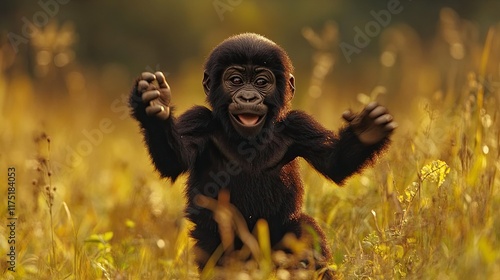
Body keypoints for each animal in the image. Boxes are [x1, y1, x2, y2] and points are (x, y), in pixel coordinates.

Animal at [129, 32, 394, 274]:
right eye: (235, 80)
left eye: (261, 82)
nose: (248, 96)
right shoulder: (198, 121)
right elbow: (173, 161)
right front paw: (155, 106)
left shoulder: (299, 126)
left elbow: (334, 163)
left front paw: (367, 131)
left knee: (305, 234)